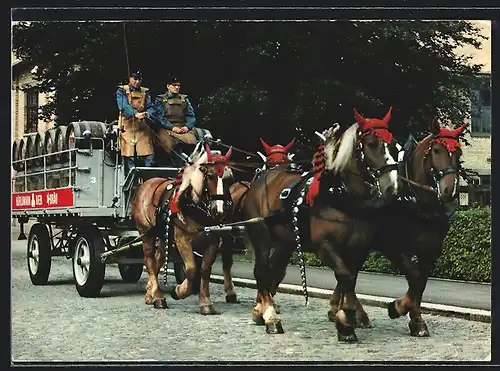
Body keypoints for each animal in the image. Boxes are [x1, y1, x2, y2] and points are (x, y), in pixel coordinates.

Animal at [132, 142, 235, 314]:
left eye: (229, 178)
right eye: (211, 175)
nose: (219, 210)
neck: (192, 204)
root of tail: (145, 184)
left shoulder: (212, 241)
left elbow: (205, 270)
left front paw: (205, 303)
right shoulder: (182, 240)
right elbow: (192, 269)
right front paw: (179, 291)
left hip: (163, 235)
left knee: (158, 259)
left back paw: (150, 293)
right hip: (146, 232)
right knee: (150, 261)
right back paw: (158, 297)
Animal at [240, 106, 400, 342]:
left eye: (394, 144)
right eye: (371, 144)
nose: (391, 188)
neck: (340, 194)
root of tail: (260, 179)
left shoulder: (359, 249)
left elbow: (349, 279)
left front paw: (347, 316)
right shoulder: (324, 247)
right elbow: (344, 275)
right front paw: (346, 320)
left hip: (284, 242)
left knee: (272, 272)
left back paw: (261, 311)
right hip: (261, 236)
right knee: (261, 272)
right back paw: (270, 317)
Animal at [330, 118, 466, 338]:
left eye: (459, 153)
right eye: (436, 150)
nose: (448, 191)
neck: (416, 201)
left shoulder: (430, 249)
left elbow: (420, 282)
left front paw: (415, 318)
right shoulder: (392, 246)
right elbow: (414, 277)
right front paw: (400, 309)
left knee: (350, 271)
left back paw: (343, 310)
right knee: (348, 272)